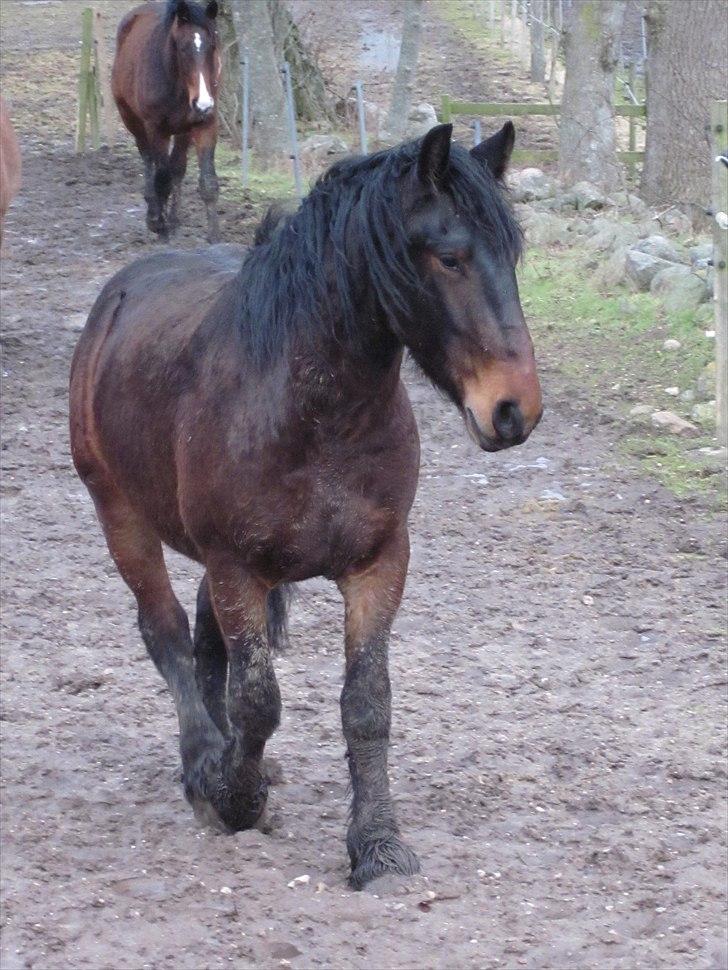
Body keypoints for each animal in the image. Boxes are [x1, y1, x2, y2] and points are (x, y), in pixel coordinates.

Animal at [71, 121, 544, 884]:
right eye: (449, 257)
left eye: (513, 256)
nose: (514, 409)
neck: (316, 413)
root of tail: (118, 295)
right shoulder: (238, 567)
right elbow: (259, 700)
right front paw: (236, 798)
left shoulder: (379, 563)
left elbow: (367, 704)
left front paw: (378, 845)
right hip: (122, 518)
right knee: (166, 633)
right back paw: (204, 765)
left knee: (204, 645)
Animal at [112, 0, 220, 241]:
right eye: (182, 47)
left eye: (212, 46)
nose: (203, 103)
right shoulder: (156, 128)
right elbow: (162, 179)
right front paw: (158, 226)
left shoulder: (205, 124)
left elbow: (207, 182)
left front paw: (213, 237)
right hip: (133, 121)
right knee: (149, 160)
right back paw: (154, 212)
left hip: (183, 130)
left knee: (177, 167)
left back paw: (173, 219)